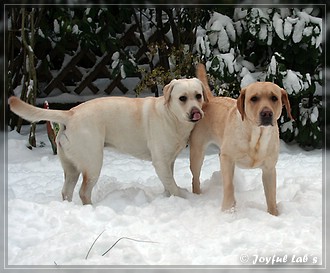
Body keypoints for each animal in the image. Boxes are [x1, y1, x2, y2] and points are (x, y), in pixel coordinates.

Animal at [9, 76, 208, 204]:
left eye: (198, 95)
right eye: (182, 98)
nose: (196, 112)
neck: (172, 117)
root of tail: (70, 114)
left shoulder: (169, 161)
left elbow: (168, 183)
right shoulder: (160, 162)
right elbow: (172, 185)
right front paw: (184, 197)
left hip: (71, 168)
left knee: (66, 191)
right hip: (93, 163)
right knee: (83, 192)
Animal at [189, 63, 292, 215]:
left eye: (274, 98)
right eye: (254, 98)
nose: (267, 113)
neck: (256, 137)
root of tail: (211, 100)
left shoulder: (269, 169)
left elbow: (271, 196)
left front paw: (274, 214)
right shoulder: (227, 158)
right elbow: (229, 186)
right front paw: (228, 210)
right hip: (197, 153)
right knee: (195, 178)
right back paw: (197, 195)